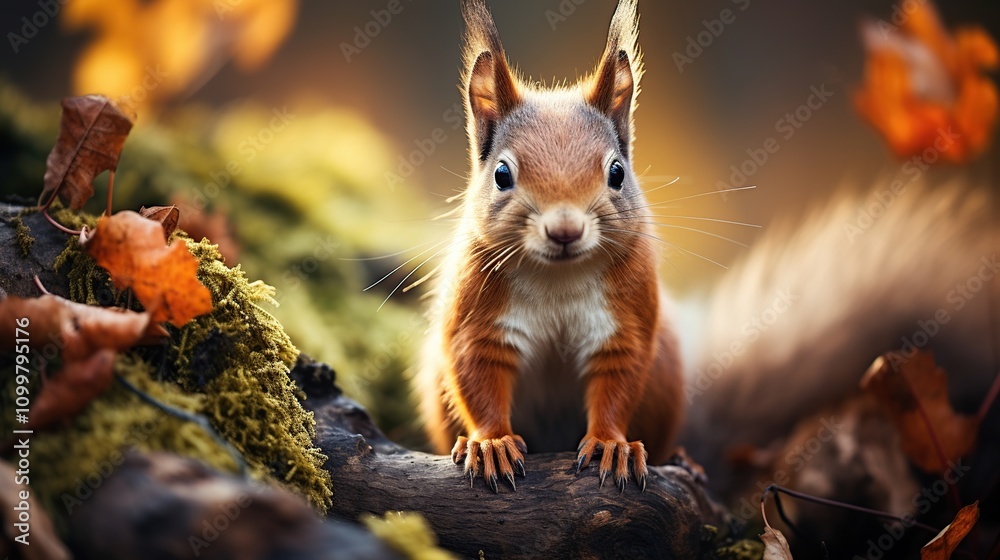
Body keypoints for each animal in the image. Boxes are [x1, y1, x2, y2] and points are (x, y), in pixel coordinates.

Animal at [417, 0, 684, 491]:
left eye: (617, 172)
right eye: (502, 174)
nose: (564, 230)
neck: (557, 279)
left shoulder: (627, 324)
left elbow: (619, 385)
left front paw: (611, 445)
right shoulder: (476, 322)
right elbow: (477, 379)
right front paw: (491, 443)